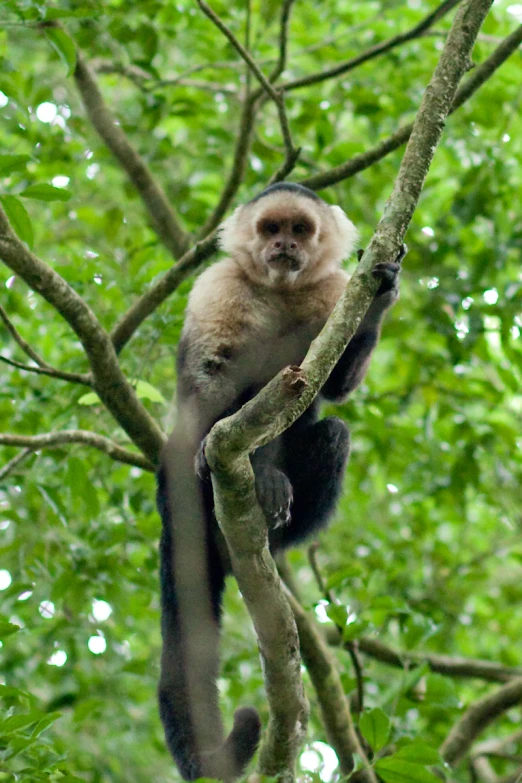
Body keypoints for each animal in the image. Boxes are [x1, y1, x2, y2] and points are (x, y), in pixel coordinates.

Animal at [154, 181, 402, 780]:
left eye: (299, 230)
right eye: (270, 228)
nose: (283, 246)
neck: (280, 291)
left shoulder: (334, 293)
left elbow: (333, 389)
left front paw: (381, 296)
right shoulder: (217, 285)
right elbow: (212, 377)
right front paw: (257, 469)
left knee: (334, 433)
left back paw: (272, 526)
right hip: (179, 491)